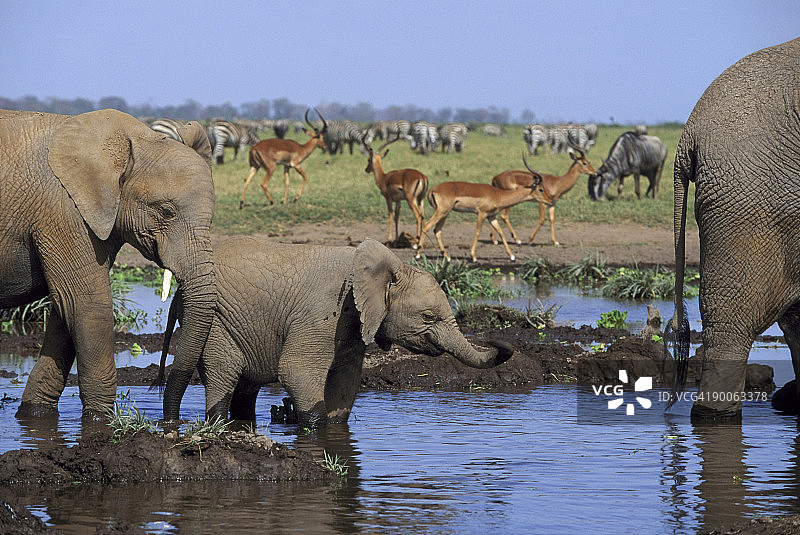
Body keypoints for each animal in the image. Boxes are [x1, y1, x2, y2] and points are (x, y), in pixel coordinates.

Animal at [0, 109, 216, 419]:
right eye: (166, 211)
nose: (171, 421)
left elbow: (65, 312)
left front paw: (34, 415)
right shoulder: (65, 212)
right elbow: (88, 307)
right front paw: (100, 421)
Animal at [155, 237, 513, 426]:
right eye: (428, 317)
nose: (497, 339)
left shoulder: (353, 323)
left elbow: (345, 382)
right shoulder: (323, 311)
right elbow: (297, 372)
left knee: (246, 388)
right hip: (217, 321)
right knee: (224, 374)